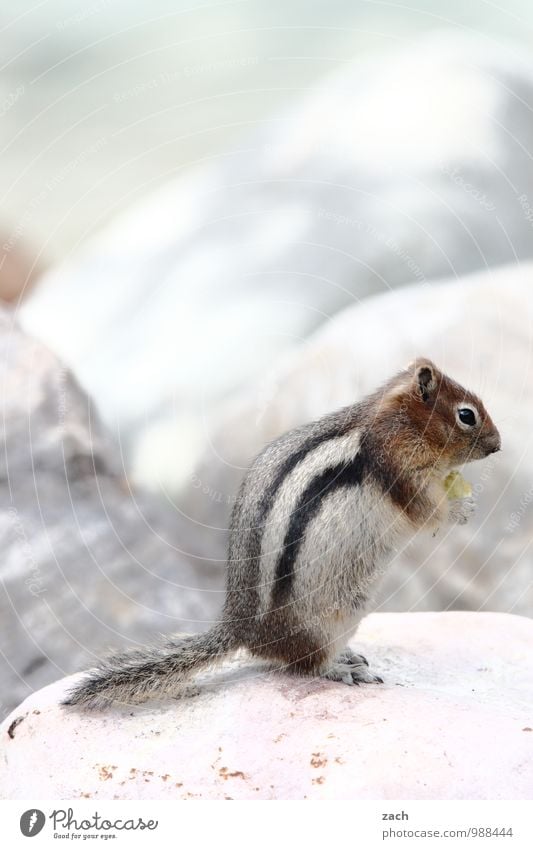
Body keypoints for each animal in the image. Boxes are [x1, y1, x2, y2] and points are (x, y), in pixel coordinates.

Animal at [63, 358, 498, 708]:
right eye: (467, 415)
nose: (497, 445)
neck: (399, 421)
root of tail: (242, 628)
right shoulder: (400, 471)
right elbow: (428, 514)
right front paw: (462, 508)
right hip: (326, 619)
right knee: (306, 664)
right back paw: (341, 668)